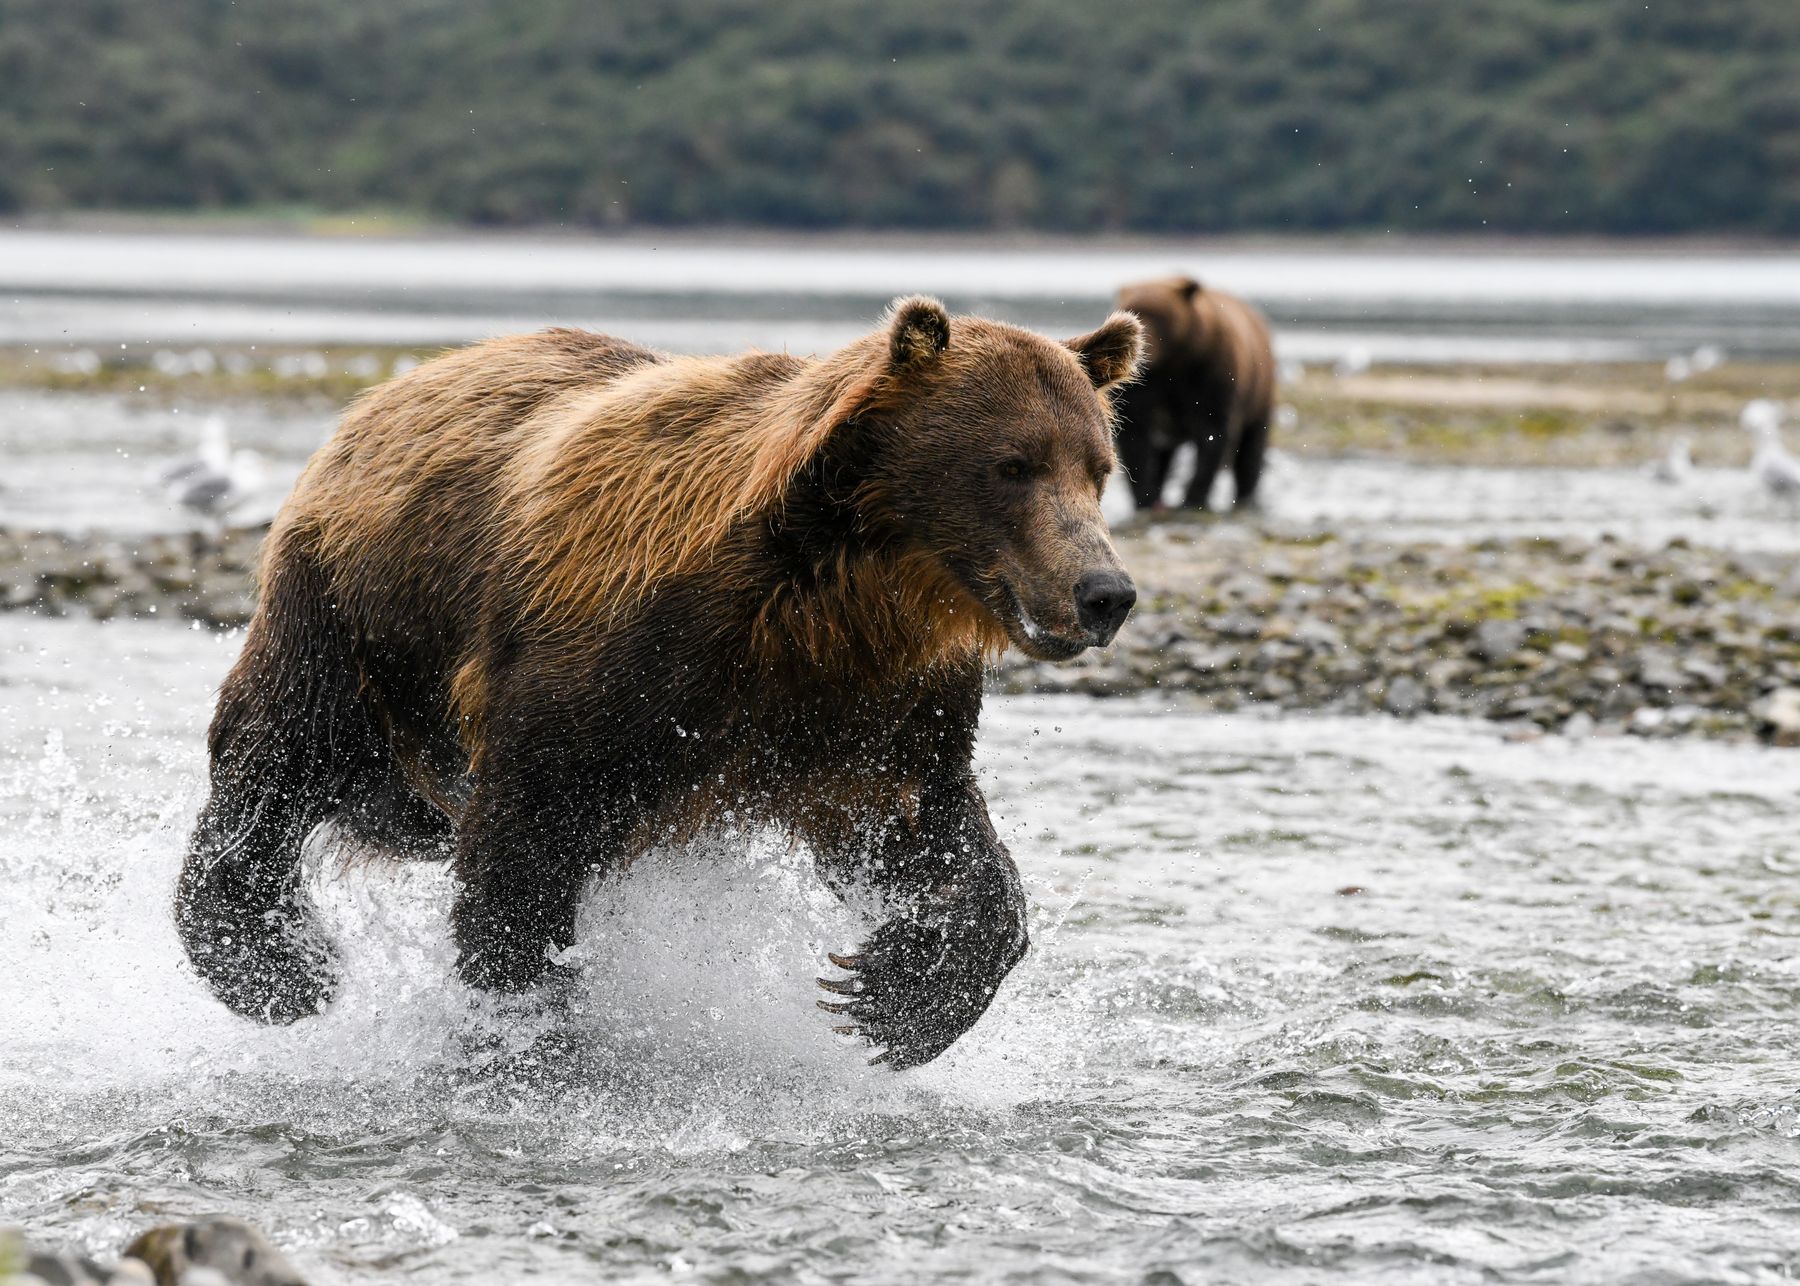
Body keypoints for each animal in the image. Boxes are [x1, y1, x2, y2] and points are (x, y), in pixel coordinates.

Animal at [174, 298, 1143, 1069]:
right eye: (1011, 464)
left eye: (1098, 466)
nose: (1104, 592)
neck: (838, 597)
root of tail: (400, 386)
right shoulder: (616, 660)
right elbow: (525, 842)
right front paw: (527, 1024)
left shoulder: (873, 704)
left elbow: (927, 828)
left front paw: (896, 994)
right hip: (353, 610)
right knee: (278, 754)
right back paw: (274, 961)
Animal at [1112, 276, 1277, 512]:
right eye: (1132, 311)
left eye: (1160, 316)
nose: (1144, 349)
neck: (1172, 363)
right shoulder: (1144, 388)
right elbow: (1136, 434)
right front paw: (1147, 496)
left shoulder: (1209, 374)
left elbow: (1212, 434)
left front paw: (1192, 497)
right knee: (1163, 453)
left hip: (1259, 393)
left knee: (1251, 449)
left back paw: (1246, 495)